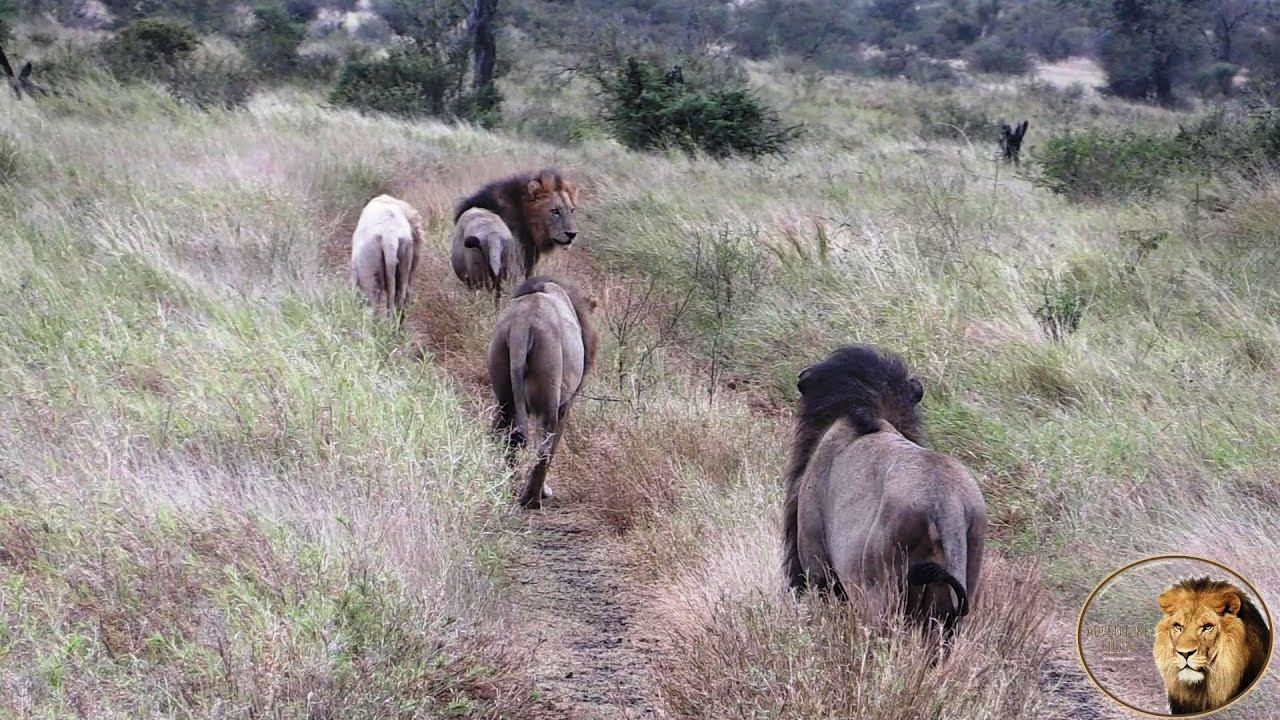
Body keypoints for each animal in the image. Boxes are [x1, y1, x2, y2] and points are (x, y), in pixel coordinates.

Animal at [487, 275, 598, 509]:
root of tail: (522, 322)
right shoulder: (564, 406)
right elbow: (554, 446)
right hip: (549, 393)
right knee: (543, 449)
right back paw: (532, 499)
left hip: (503, 390)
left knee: (501, 435)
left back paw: (507, 486)